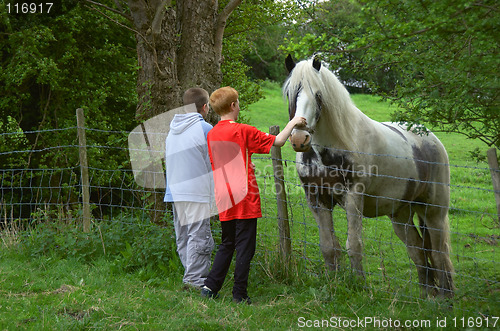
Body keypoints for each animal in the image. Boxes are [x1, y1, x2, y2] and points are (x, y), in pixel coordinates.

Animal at [284, 54, 456, 298]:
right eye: (291, 93)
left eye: (318, 95)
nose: (300, 139)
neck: (329, 149)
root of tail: (431, 138)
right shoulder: (317, 198)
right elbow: (328, 246)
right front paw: (332, 282)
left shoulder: (353, 197)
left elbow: (354, 245)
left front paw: (360, 286)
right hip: (401, 215)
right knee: (418, 251)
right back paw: (426, 295)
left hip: (433, 212)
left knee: (440, 253)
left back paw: (445, 298)